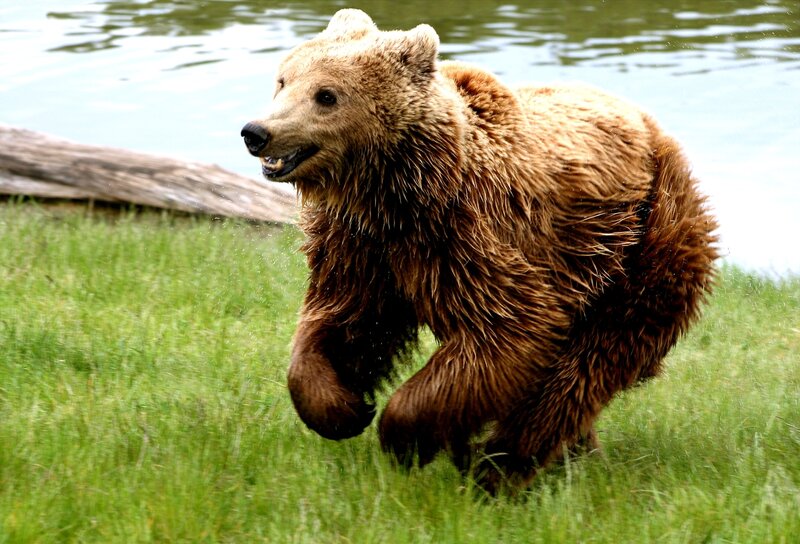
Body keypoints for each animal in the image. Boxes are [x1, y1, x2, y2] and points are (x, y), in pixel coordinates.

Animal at [240, 9, 718, 494]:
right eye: (283, 80)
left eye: (326, 95)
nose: (257, 132)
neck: (394, 191)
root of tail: (652, 127)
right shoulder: (359, 246)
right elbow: (344, 321)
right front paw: (344, 409)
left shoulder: (469, 237)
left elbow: (509, 330)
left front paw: (402, 437)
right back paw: (567, 455)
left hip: (641, 241)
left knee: (589, 363)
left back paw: (501, 465)